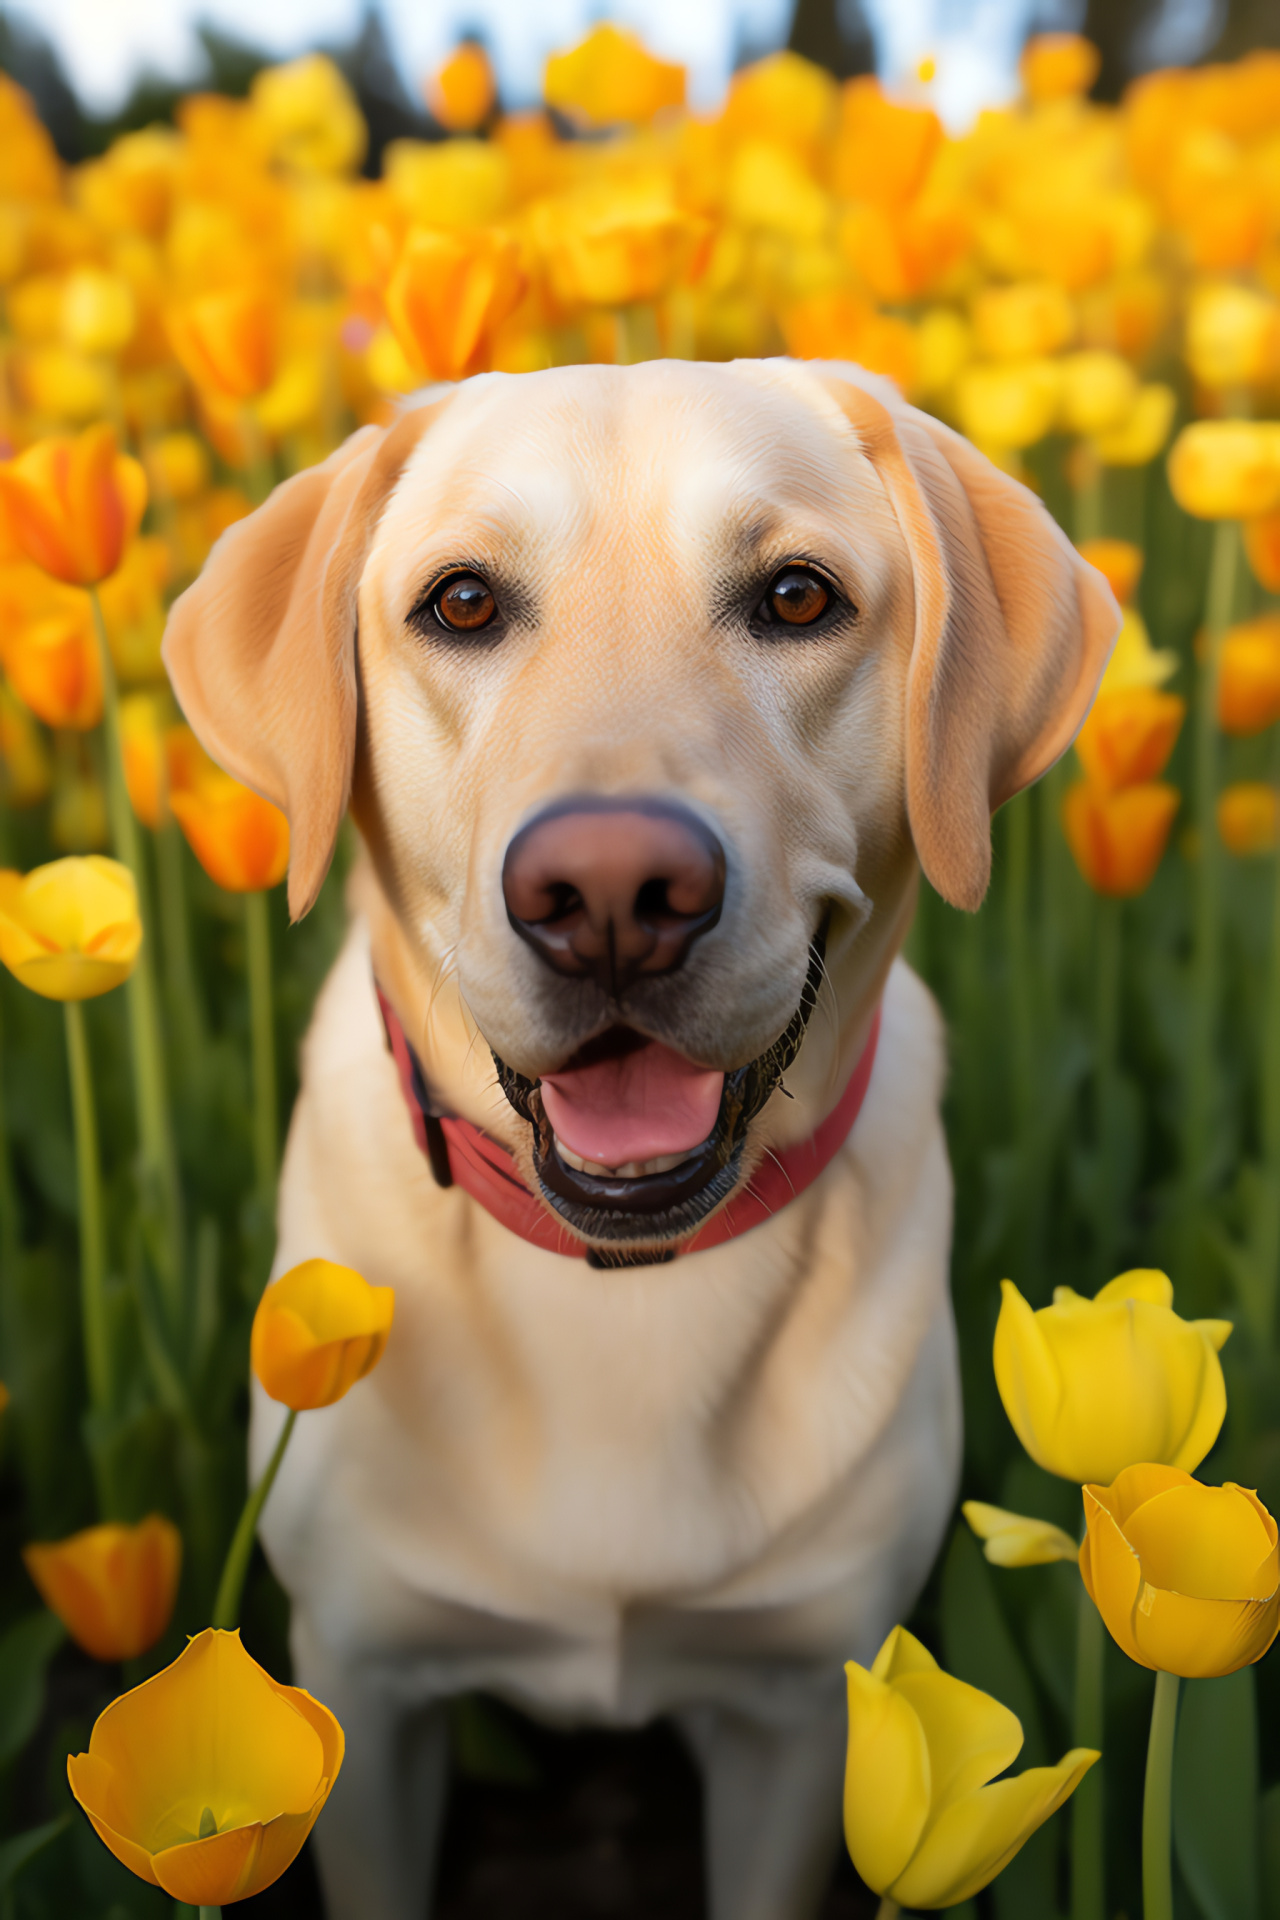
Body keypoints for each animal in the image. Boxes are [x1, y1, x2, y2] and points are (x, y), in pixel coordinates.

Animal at [165, 353, 1113, 1912]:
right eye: (462, 604)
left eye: (795, 596)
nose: (612, 894)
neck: (619, 1290)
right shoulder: (357, 1688)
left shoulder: (799, 1717)